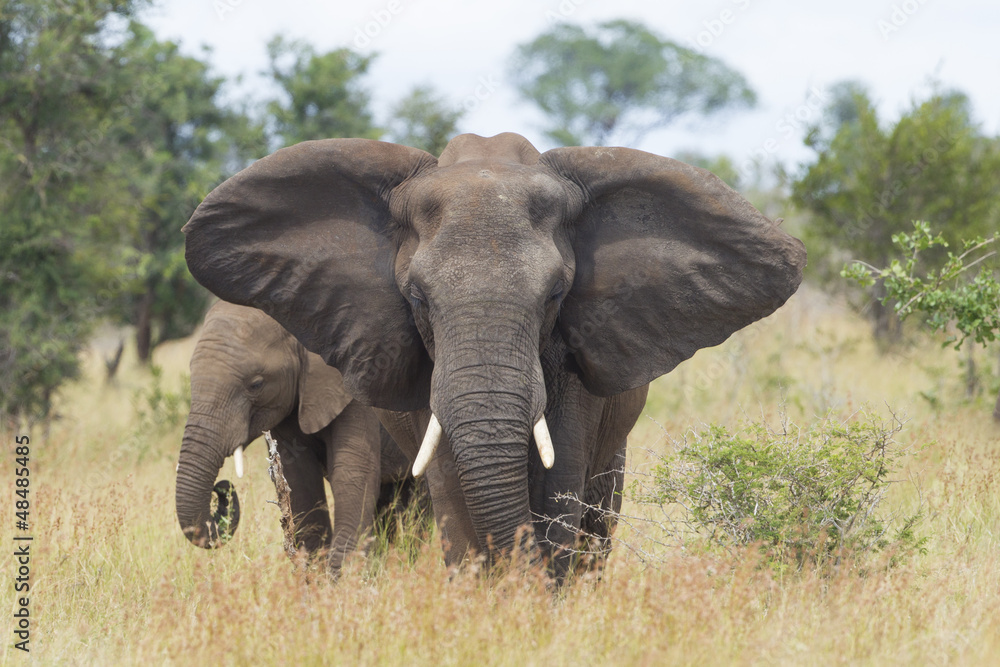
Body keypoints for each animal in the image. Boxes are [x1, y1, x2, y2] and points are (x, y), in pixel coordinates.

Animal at [174, 302, 412, 568]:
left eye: (256, 384)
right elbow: (301, 480)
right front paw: (318, 574)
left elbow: (352, 472)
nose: (222, 487)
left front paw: (342, 575)